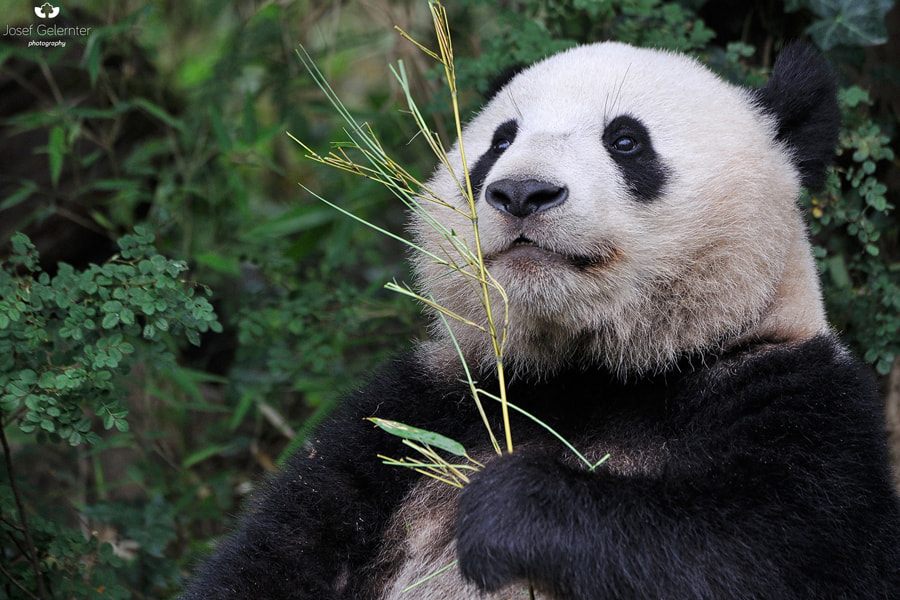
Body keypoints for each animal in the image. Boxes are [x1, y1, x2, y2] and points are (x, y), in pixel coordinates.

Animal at [181, 42, 900, 599]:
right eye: (500, 142)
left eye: (626, 141)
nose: (522, 193)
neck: (592, 371)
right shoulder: (417, 411)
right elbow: (286, 551)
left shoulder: (795, 397)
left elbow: (750, 551)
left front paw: (505, 507)